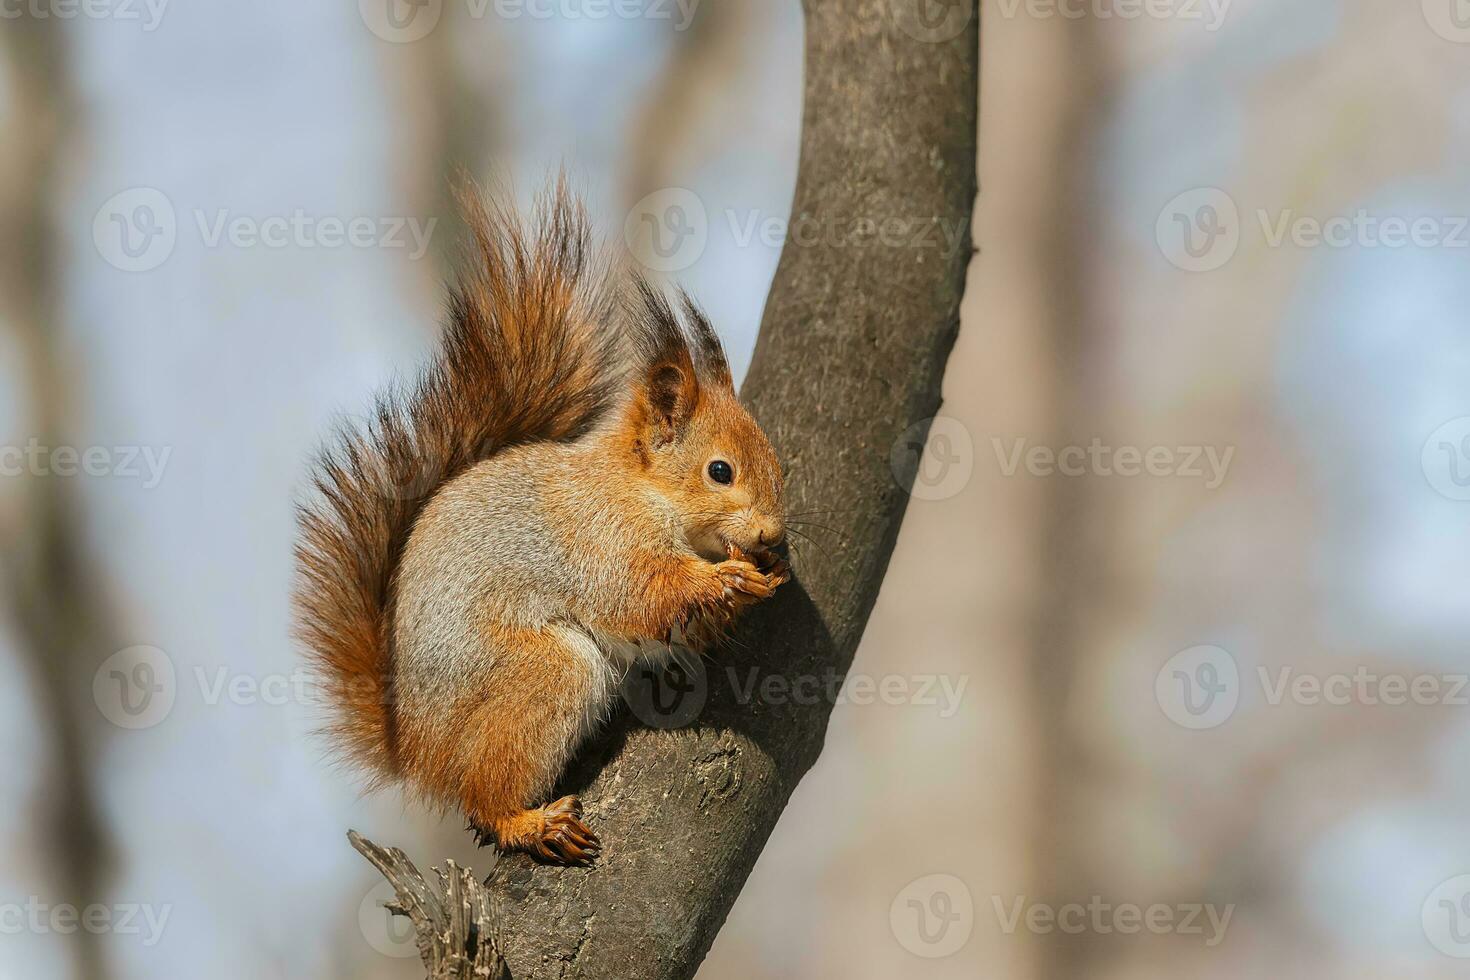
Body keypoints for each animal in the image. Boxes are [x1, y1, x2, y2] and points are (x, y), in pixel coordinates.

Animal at [291, 183, 787, 863]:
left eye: (776, 460)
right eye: (719, 471)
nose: (771, 534)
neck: (642, 490)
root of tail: (414, 752)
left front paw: (763, 573)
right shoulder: (601, 536)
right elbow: (640, 592)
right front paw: (726, 580)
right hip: (541, 673)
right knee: (483, 792)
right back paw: (527, 822)